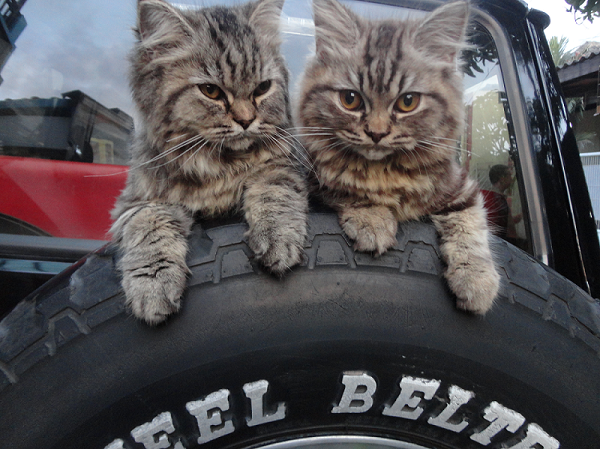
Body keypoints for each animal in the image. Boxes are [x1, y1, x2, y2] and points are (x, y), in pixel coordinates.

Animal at [112, 0, 308, 324]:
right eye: (211, 91)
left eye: (262, 88)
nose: (246, 121)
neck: (218, 165)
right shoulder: (135, 203)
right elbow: (149, 228)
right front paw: (154, 283)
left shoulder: (284, 166)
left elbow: (273, 193)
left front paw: (277, 236)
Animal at [298, 0, 500, 314]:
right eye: (350, 100)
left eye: (408, 102)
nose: (376, 133)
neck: (386, 170)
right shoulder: (315, 177)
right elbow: (351, 190)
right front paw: (373, 220)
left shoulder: (460, 188)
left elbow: (471, 229)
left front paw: (477, 282)